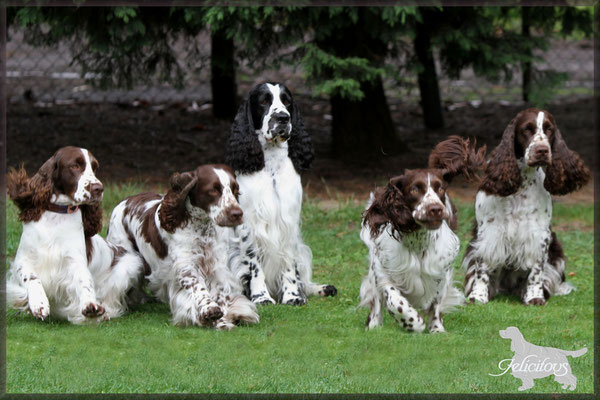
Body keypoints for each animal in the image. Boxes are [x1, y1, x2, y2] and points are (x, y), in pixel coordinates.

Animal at [225, 82, 338, 306]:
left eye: (287, 101)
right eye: (263, 101)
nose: (283, 118)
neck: (271, 166)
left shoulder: (289, 219)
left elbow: (289, 263)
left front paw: (293, 296)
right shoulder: (249, 223)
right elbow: (254, 264)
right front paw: (260, 297)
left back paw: (320, 288)